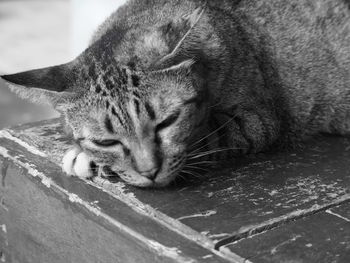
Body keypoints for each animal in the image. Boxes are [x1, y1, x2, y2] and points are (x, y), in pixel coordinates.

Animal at [0, 0, 350, 188]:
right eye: (106, 141)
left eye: (166, 122)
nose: (149, 172)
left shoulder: (259, 119)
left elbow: (210, 135)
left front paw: (83, 156)